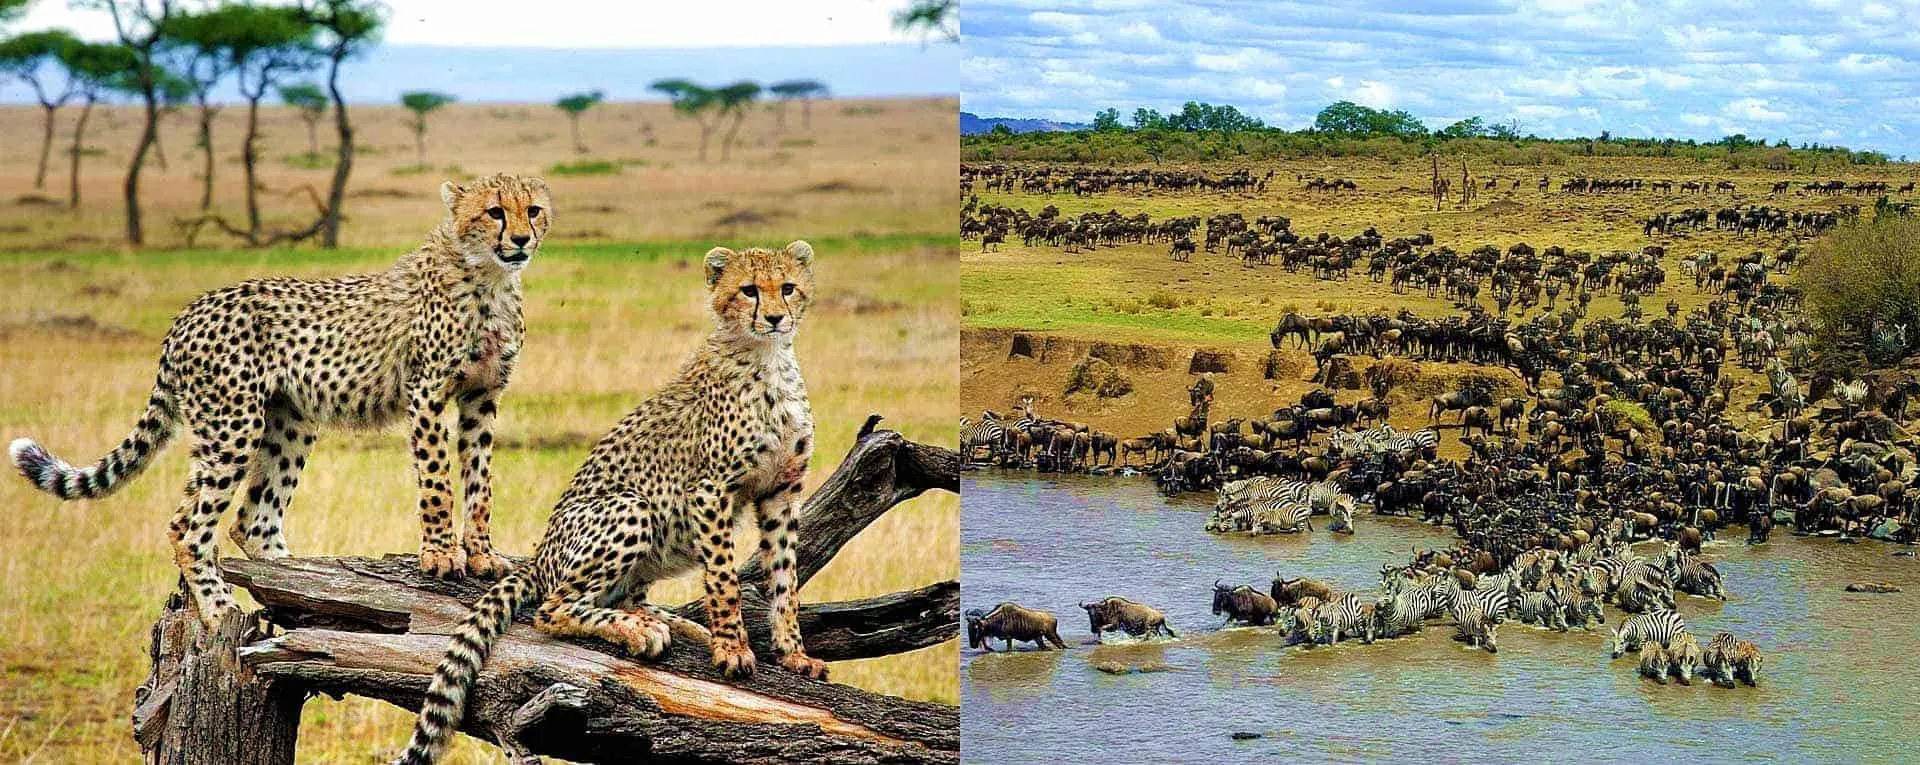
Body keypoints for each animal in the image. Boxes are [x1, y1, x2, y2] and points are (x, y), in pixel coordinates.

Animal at [13, 174, 556, 626]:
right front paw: (441, 555)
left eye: (532, 210)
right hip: (233, 428)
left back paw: (302, 585)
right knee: (190, 528)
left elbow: (480, 482)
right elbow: (438, 483)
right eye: (494, 212)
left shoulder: (482, 398)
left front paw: (482, 554)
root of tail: (188, 311)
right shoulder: (426, 395)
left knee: (242, 520)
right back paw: (219, 606)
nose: (521, 240)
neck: (488, 278)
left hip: (289, 422)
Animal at [397, 240, 825, 765]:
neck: (767, 359)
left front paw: (794, 654)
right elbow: (724, 580)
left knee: (621, 596)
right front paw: (732, 649)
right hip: (630, 506)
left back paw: (665, 622)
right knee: (554, 608)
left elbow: (786, 581)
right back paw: (638, 629)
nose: (777, 317)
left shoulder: (782, 492)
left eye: (787, 287)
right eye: (748, 291)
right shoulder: (710, 490)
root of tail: (539, 556)